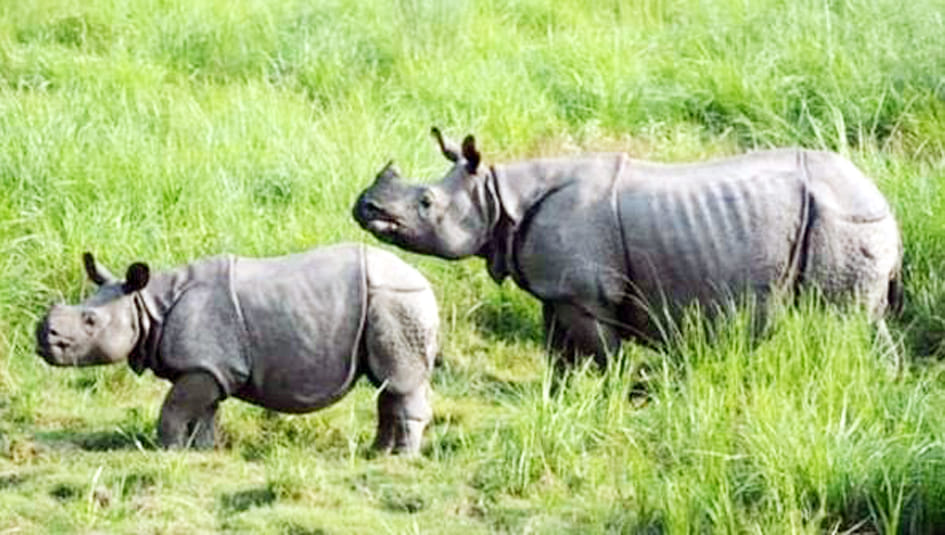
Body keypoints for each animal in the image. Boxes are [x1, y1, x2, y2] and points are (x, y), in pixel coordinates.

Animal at [35, 243, 439, 454]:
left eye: (90, 321)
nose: (42, 338)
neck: (147, 305)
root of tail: (424, 280)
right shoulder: (208, 367)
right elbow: (205, 413)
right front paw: (203, 452)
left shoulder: (207, 366)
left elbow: (173, 410)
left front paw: (166, 450)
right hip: (390, 300)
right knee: (387, 385)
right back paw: (377, 453)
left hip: (396, 300)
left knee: (400, 382)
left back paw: (401, 458)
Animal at [352, 128, 902, 367]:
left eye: (426, 202)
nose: (364, 206)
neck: (496, 197)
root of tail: (883, 200)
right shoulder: (561, 292)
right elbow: (558, 355)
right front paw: (558, 401)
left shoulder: (588, 295)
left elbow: (605, 356)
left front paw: (614, 398)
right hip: (846, 216)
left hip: (843, 221)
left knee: (843, 321)